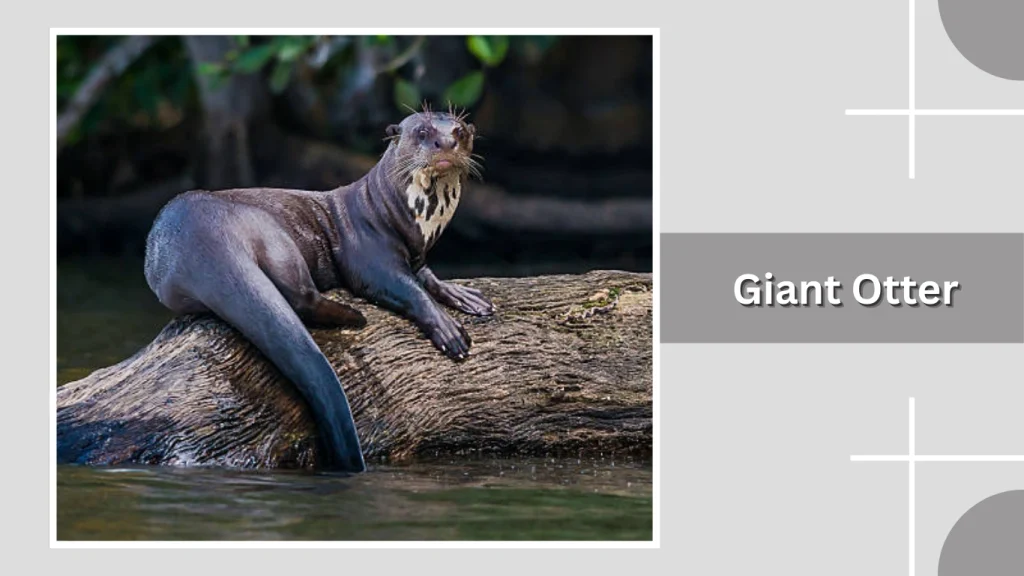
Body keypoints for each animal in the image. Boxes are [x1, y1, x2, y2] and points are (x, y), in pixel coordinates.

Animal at [143, 108, 494, 472]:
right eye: (422, 132)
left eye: (459, 131)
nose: (446, 143)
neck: (400, 216)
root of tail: (202, 236)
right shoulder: (369, 255)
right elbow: (407, 288)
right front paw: (448, 329)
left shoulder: (417, 254)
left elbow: (427, 277)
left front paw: (464, 296)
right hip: (273, 234)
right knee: (300, 296)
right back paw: (354, 316)